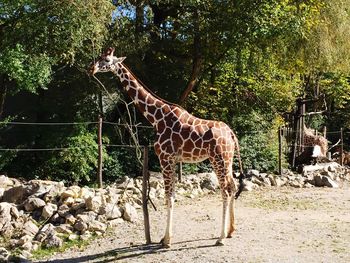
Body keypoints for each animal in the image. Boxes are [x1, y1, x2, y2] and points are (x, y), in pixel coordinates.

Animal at [89, 47, 243, 248]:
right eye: (99, 57)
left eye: (106, 60)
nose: (91, 69)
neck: (156, 117)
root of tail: (231, 134)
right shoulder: (173, 160)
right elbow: (172, 195)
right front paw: (164, 238)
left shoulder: (165, 158)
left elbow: (168, 196)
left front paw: (166, 240)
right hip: (228, 160)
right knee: (232, 187)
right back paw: (231, 231)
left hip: (218, 159)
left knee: (225, 191)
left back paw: (221, 237)